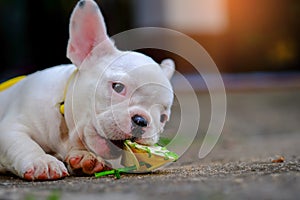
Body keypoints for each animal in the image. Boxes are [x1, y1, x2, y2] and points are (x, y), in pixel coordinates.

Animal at [0, 0, 175, 180]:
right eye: (118, 87)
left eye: (163, 117)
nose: (142, 120)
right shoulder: (10, 128)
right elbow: (24, 143)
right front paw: (42, 161)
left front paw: (85, 157)